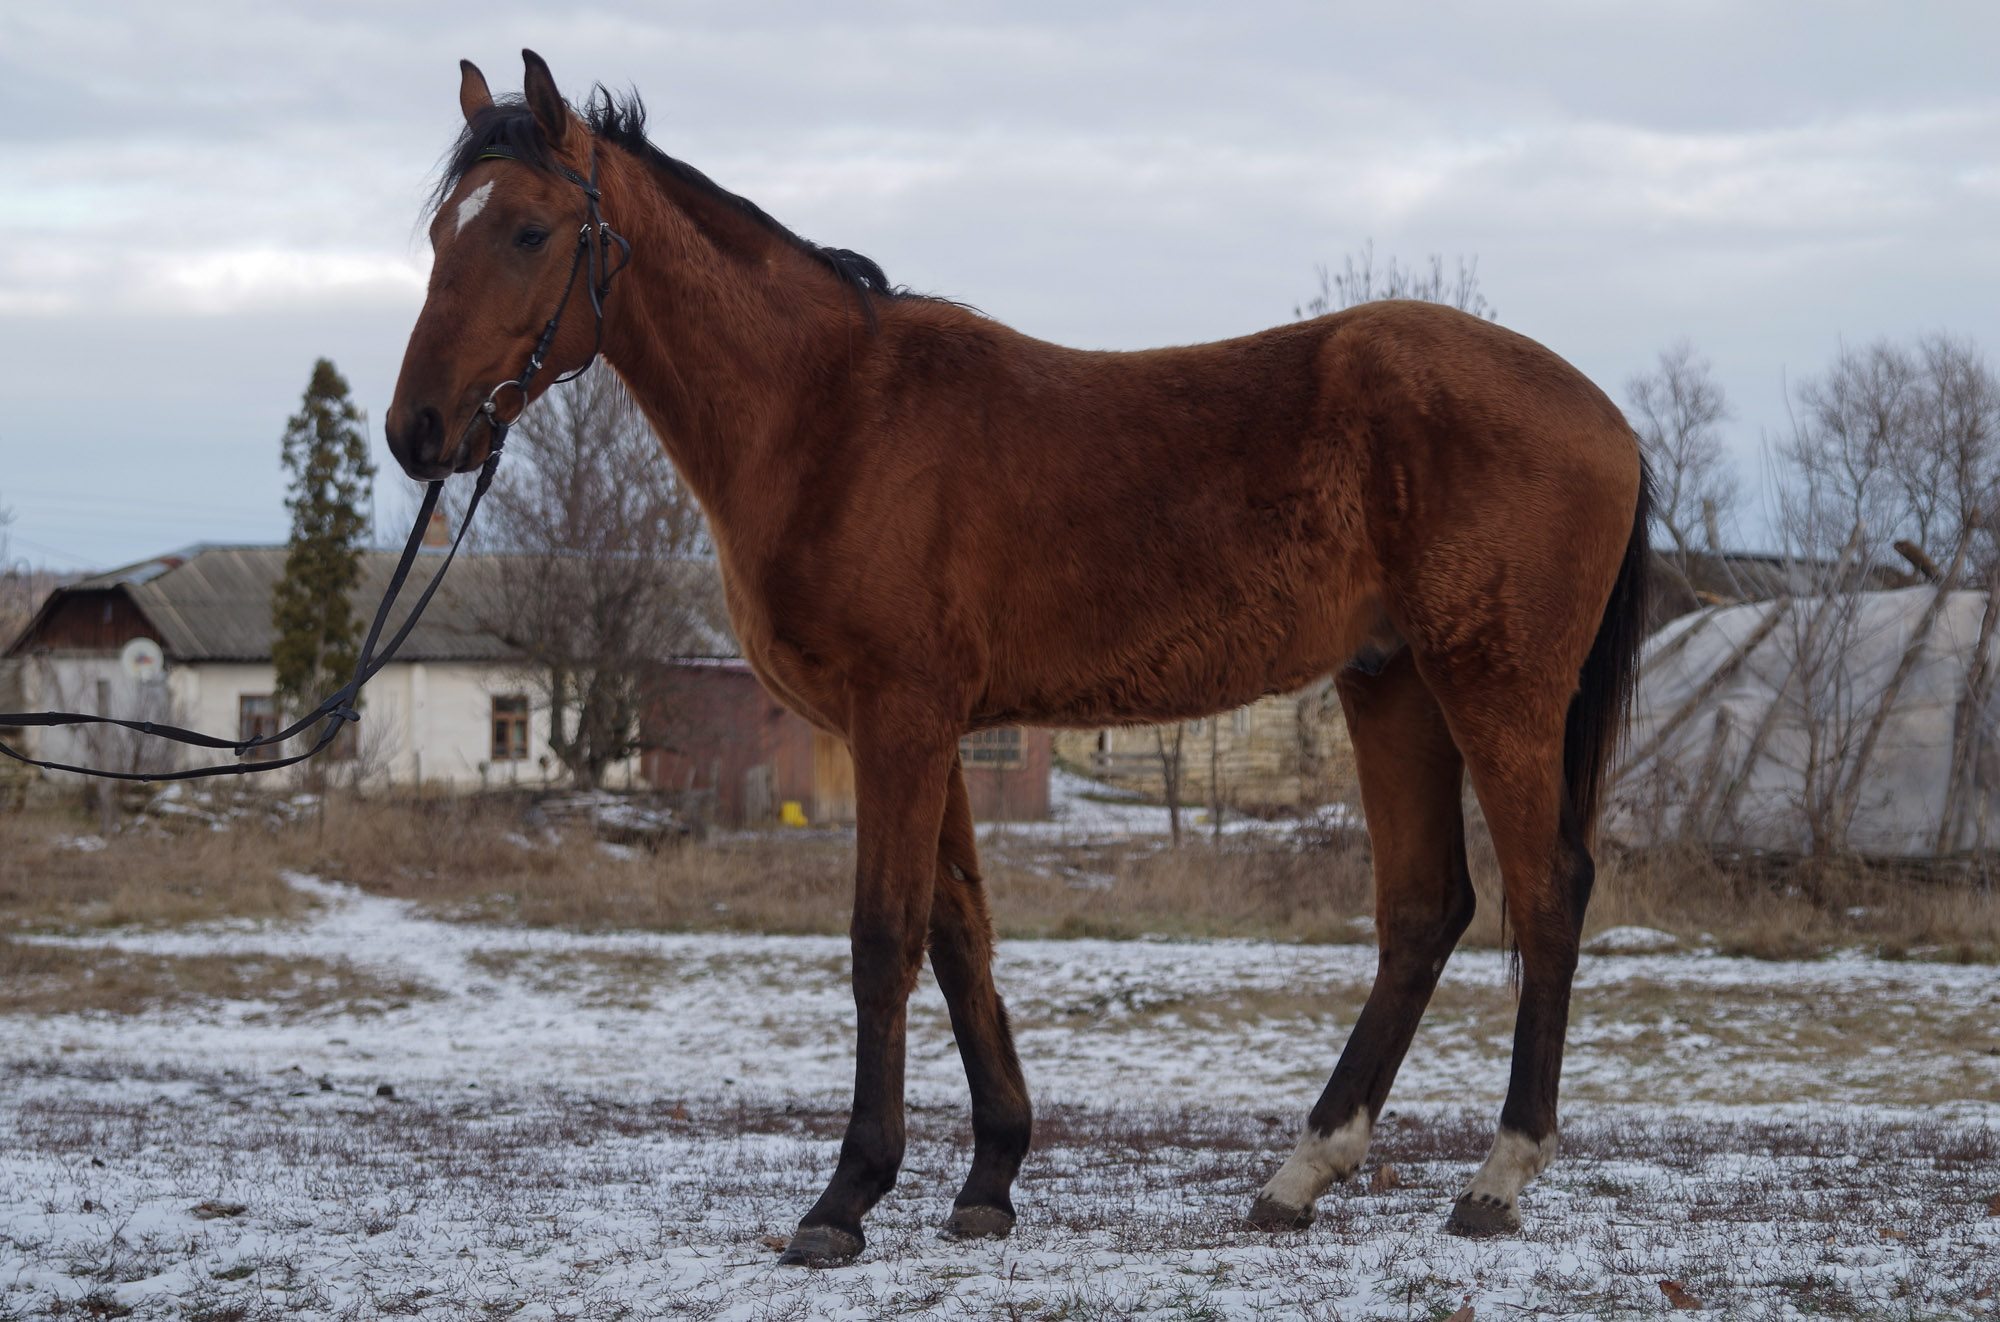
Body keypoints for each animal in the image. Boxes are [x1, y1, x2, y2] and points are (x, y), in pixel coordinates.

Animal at [382, 54, 1648, 1272]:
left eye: (528, 231)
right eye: (443, 230)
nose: (417, 431)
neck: (829, 416)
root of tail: (1604, 415)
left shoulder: (897, 716)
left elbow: (883, 938)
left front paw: (845, 1197)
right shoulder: (928, 726)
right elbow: (958, 933)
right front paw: (989, 1175)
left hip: (1492, 685)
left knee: (1545, 890)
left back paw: (1496, 1175)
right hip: (1388, 682)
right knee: (1423, 907)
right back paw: (1302, 1172)